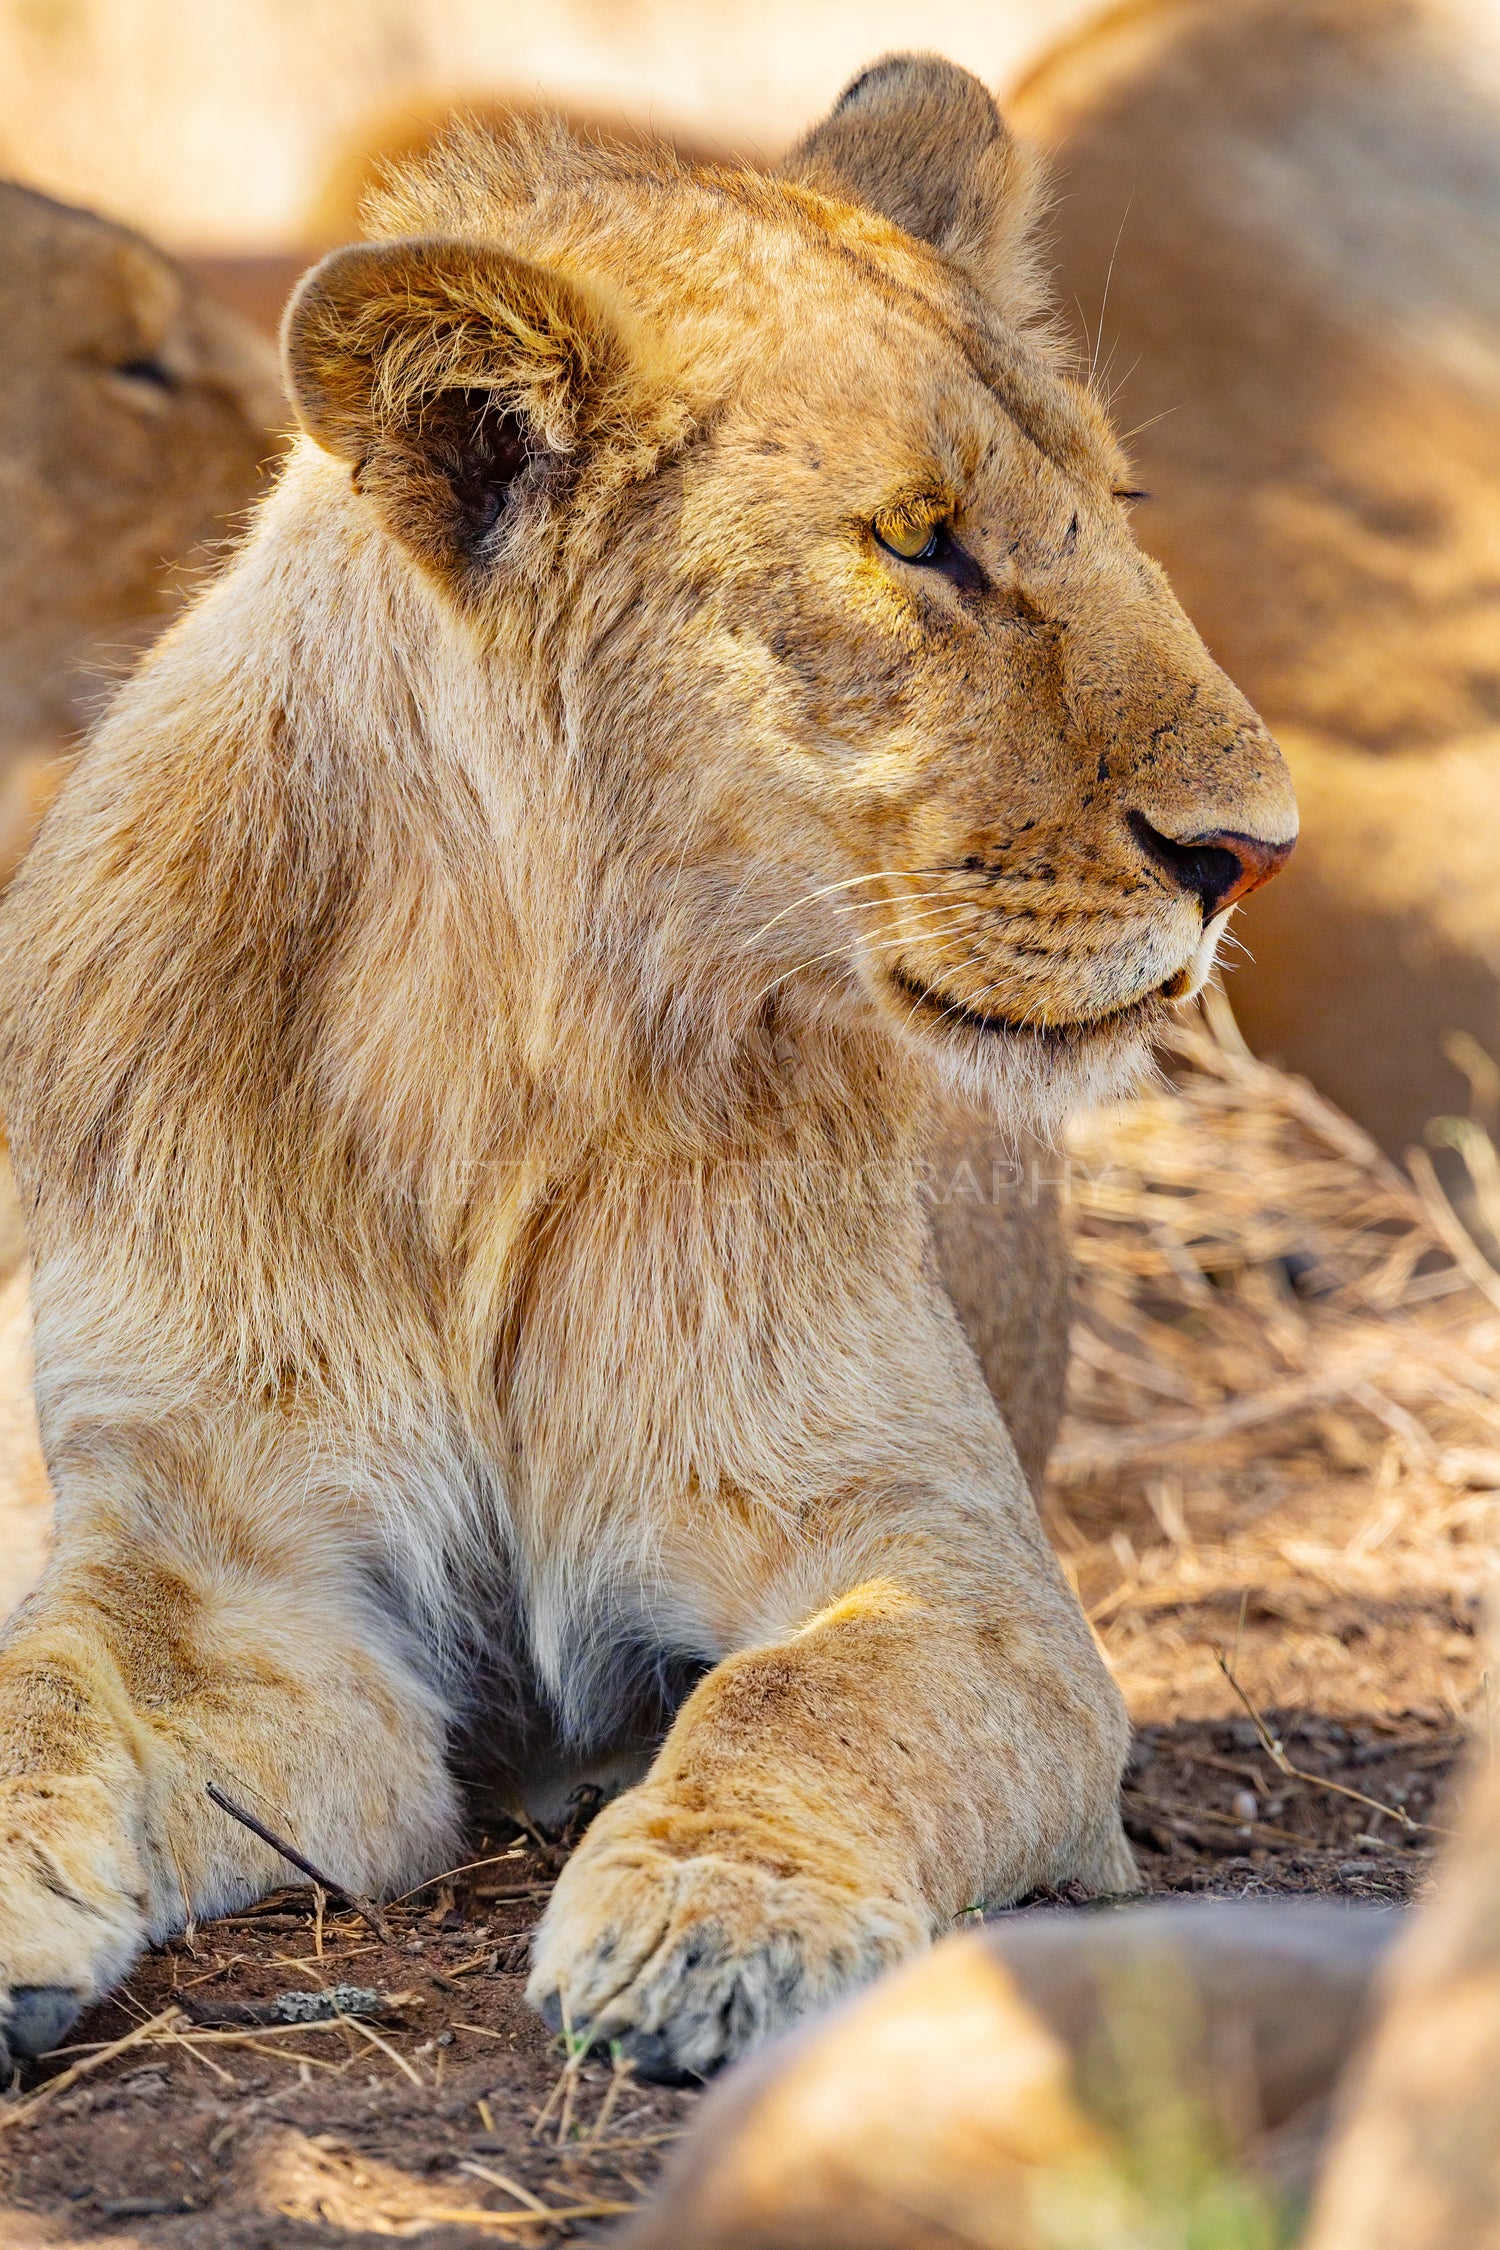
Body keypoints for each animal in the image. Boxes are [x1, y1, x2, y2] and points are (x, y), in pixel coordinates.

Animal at [0, 52, 1295, 2079]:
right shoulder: (230, 1580)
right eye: (914, 539)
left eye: (1117, 504)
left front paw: (715, 1921)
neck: (497, 1046)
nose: (1254, 850)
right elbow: (46, 1684)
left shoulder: (949, 1555)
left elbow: (807, 1697)